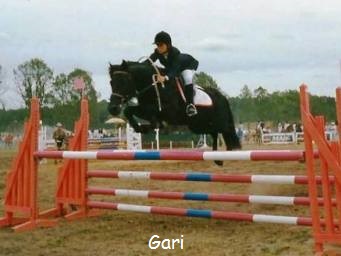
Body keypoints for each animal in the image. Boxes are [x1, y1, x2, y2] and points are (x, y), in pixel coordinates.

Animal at [107, 60, 240, 164]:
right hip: (197, 125)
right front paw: (140, 128)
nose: (113, 108)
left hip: (217, 123)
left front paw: (150, 126)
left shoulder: (168, 111)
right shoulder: (145, 108)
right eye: (111, 83)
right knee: (214, 133)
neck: (154, 86)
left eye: (124, 82)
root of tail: (222, 97)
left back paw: (227, 154)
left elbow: (153, 115)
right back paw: (218, 158)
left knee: (224, 131)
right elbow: (129, 111)